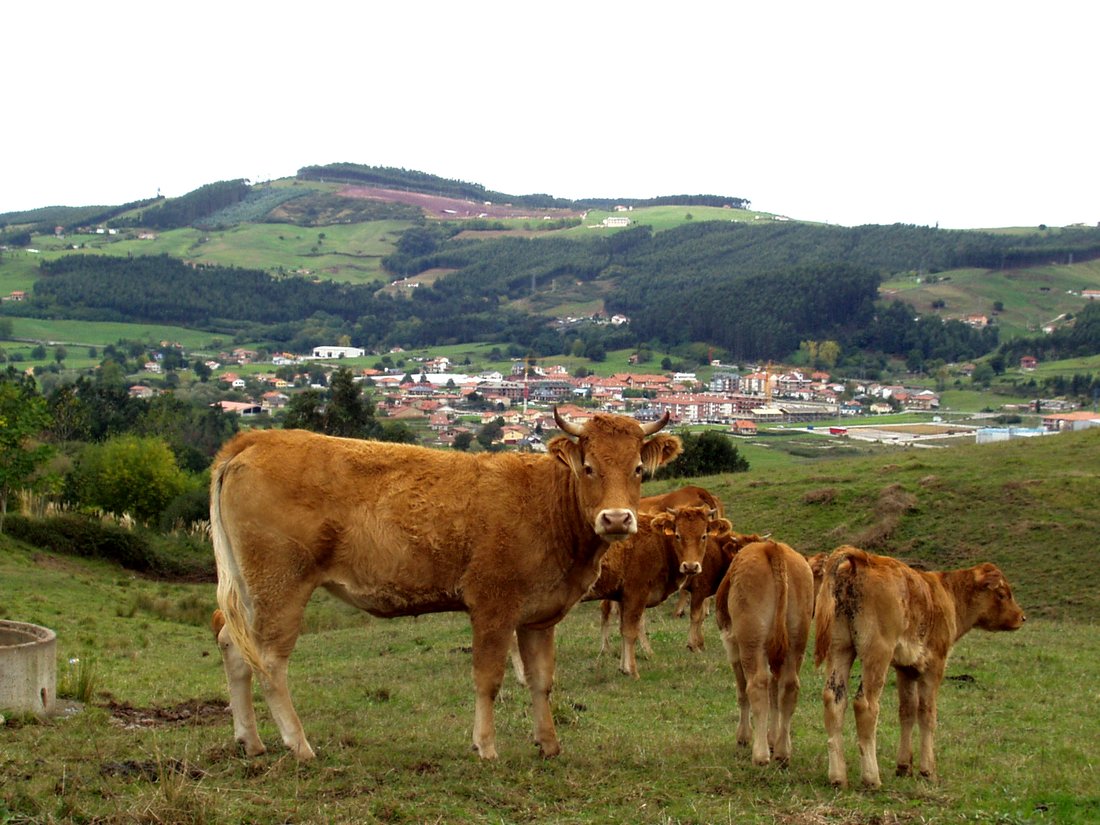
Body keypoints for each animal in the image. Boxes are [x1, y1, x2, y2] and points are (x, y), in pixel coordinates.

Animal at [585, 503, 730, 677]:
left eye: (703, 536)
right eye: (677, 535)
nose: (690, 566)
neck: (659, 541)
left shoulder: (622, 597)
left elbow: (623, 629)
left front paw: (623, 668)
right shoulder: (636, 595)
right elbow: (630, 631)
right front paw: (632, 671)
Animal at [712, 543, 818, 770]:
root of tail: (772, 547)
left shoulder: (733, 648)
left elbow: (742, 692)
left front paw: (744, 737)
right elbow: (774, 694)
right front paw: (773, 738)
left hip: (751, 643)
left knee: (756, 685)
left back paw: (760, 755)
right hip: (796, 641)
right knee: (788, 687)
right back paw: (783, 752)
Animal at [814, 545, 1025, 792]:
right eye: (1002, 593)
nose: (1021, 617)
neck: (948, 594)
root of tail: (863, 560)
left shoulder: (906, 669)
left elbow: (907, 711)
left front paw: (904, 766)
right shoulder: (934, 667)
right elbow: (927, 714)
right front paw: (928, 770)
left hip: (840, 649)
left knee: (834, 700)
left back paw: (838, 776)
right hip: (877, 654)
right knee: (865, 705)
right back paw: (871, 778)